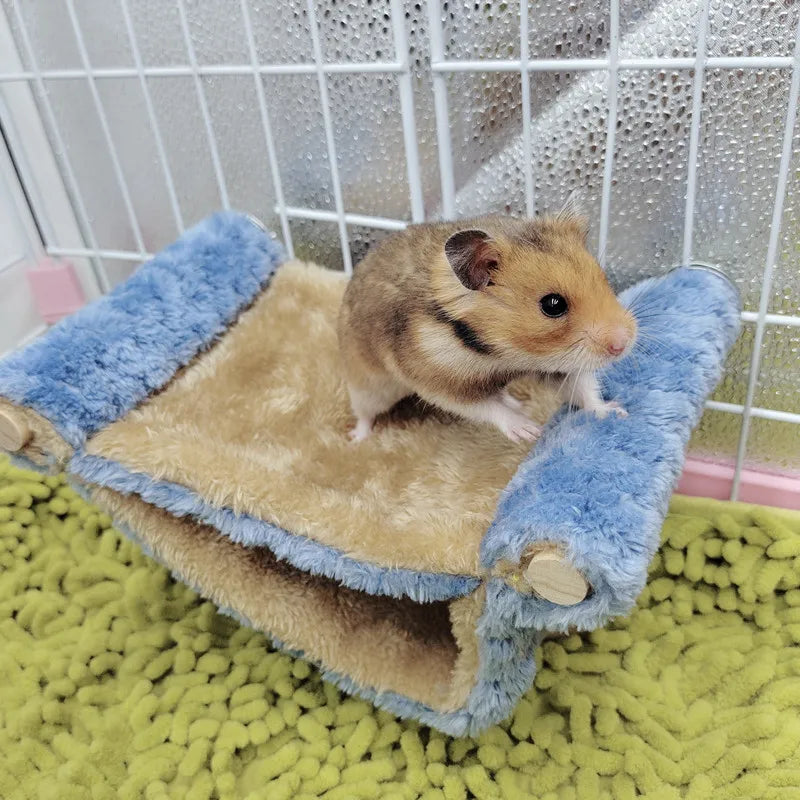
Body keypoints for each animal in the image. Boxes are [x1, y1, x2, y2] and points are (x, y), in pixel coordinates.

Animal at [337, 209, 637, 442]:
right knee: (364, 413)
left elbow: (583, 390)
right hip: (367, 387)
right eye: (553, 305)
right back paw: (357, 439)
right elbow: (485, 407)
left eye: (603, 279)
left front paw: (616, 412)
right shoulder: (440, 383)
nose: (624, 344)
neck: (503, 354)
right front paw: (530, 431)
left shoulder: (556, 364)